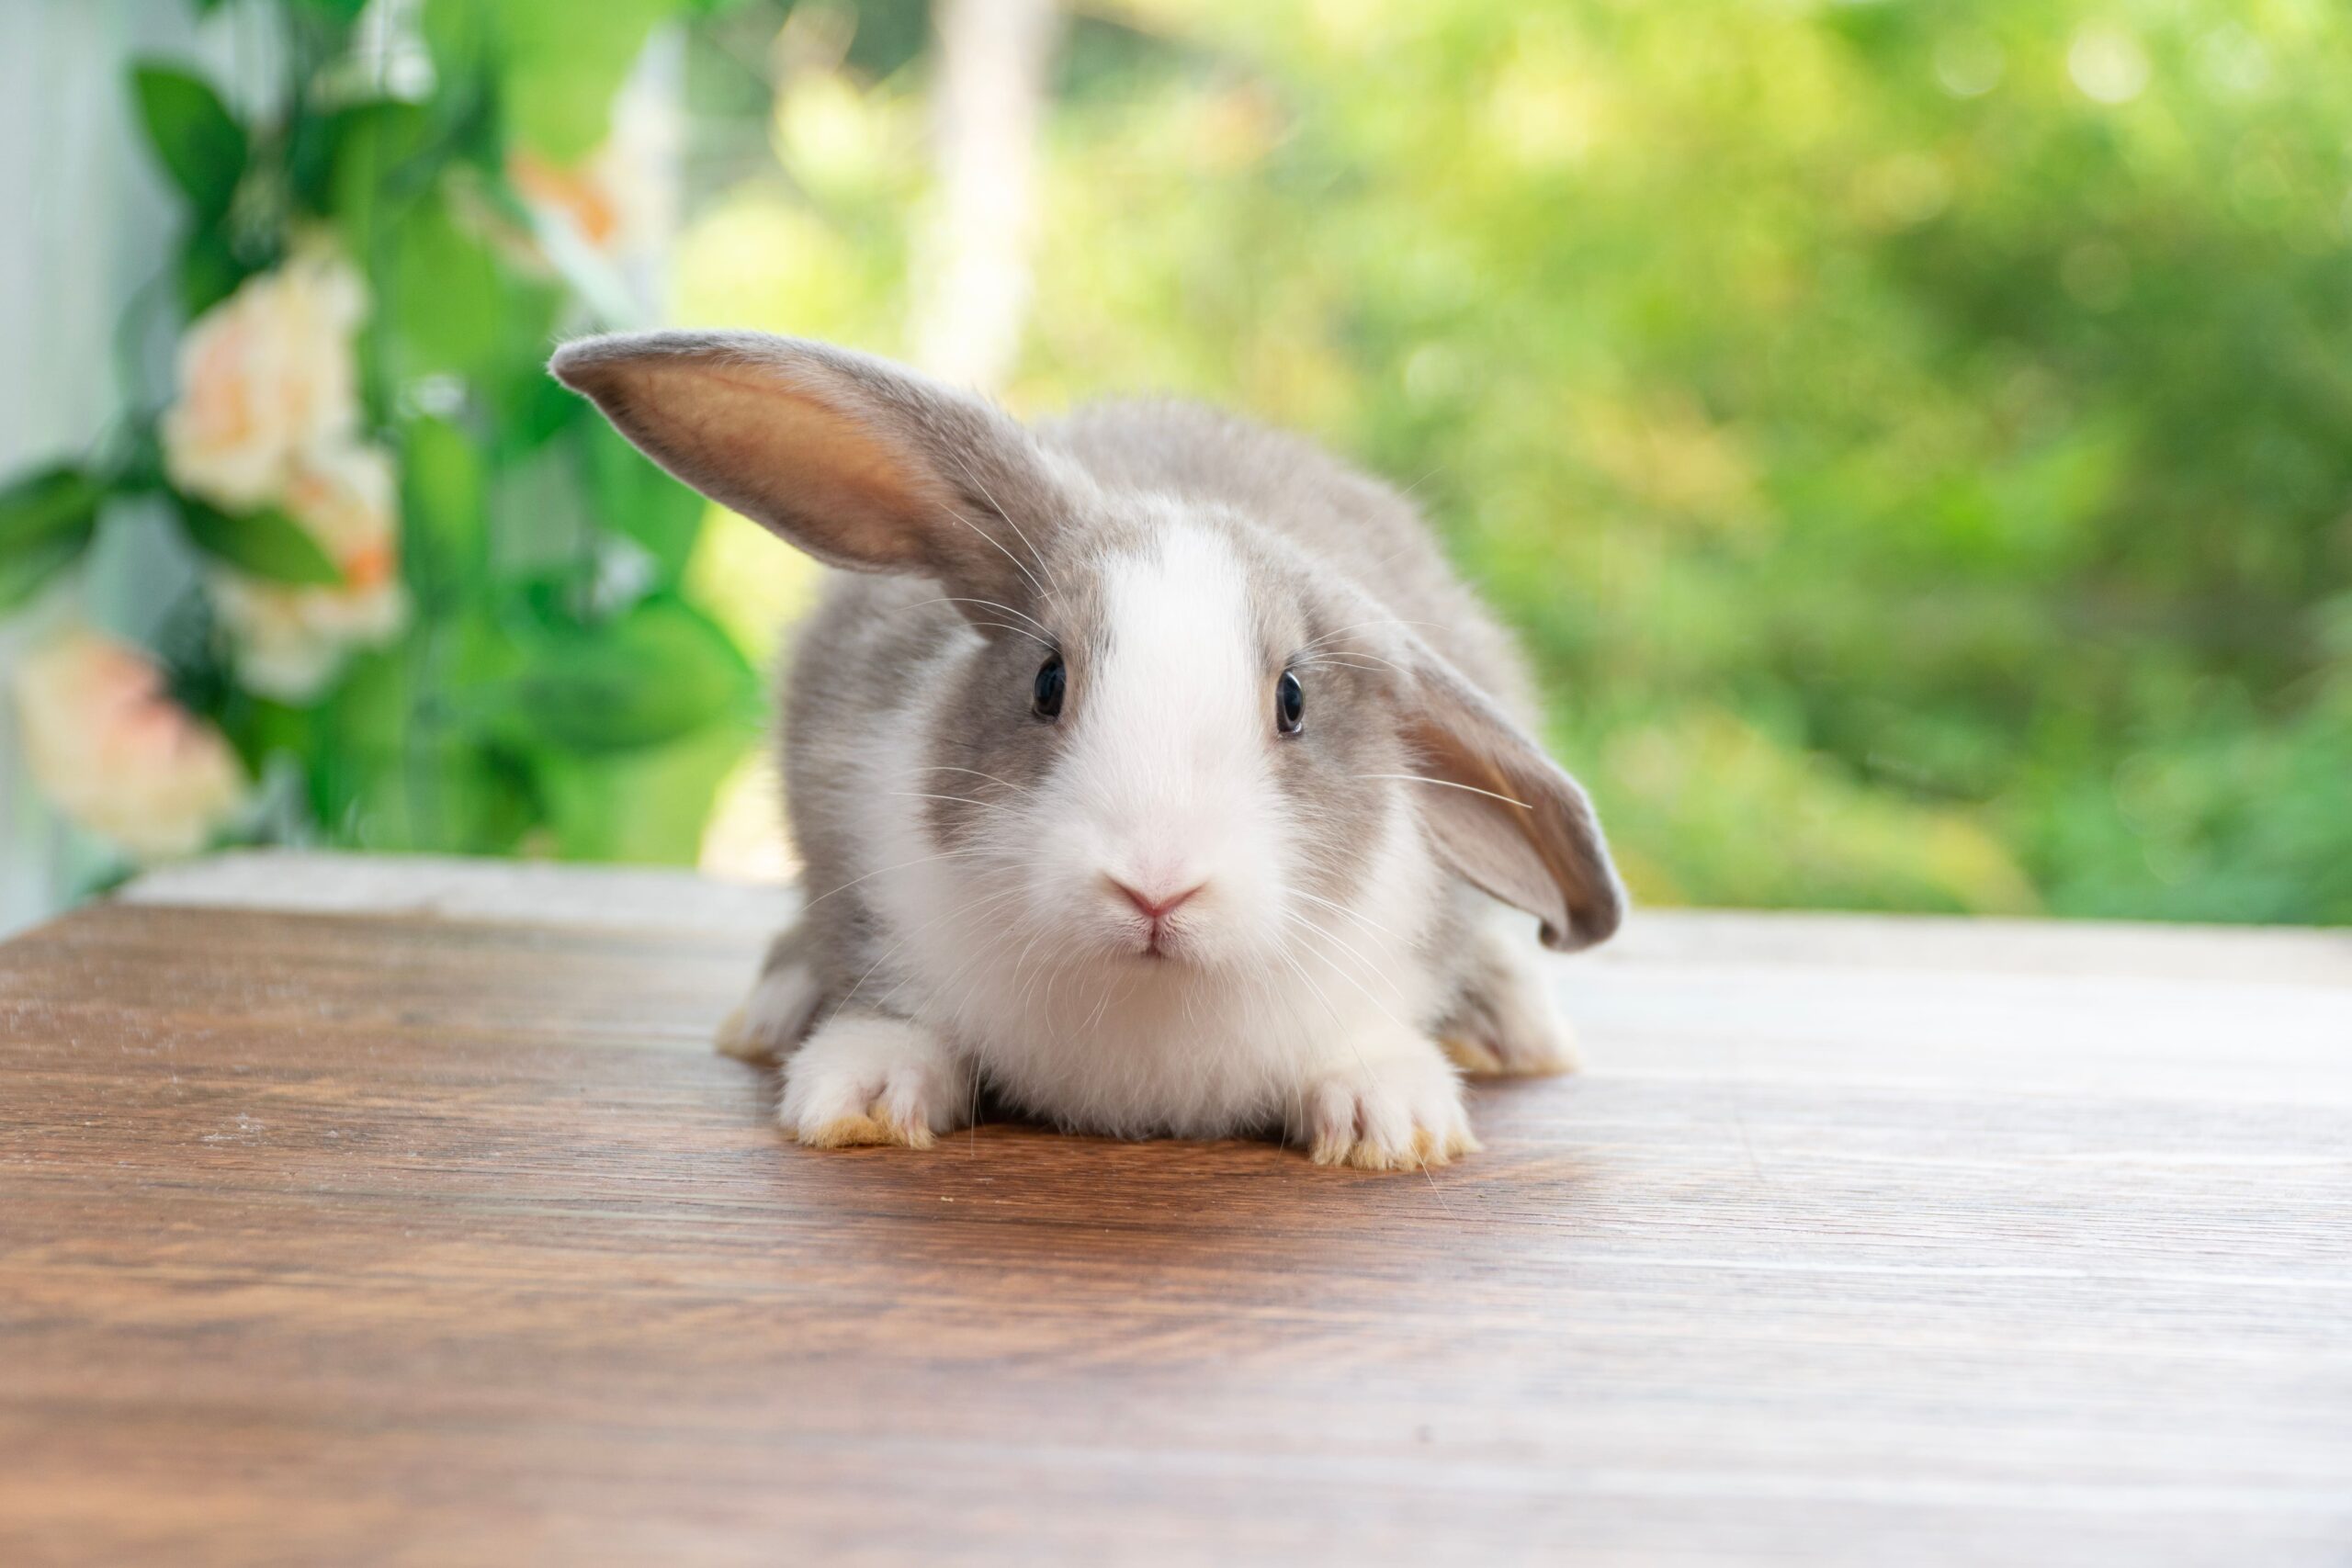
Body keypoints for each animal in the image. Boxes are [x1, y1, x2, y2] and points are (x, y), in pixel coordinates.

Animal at [548, 329, 1618, 1166]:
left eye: (1293, 700)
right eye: (1047, 681)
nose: (1155, 888)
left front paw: (1391, 1116)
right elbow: (891, 1015)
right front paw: (859, 1092)